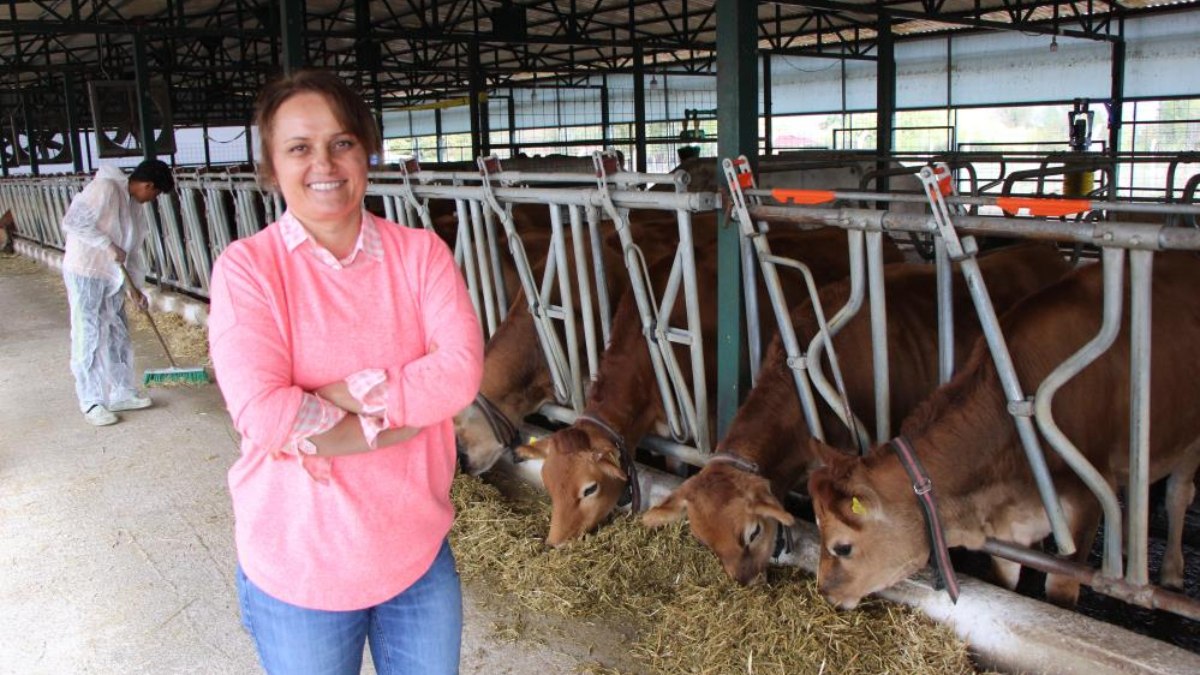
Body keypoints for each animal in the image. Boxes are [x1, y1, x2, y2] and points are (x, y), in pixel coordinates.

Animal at [806, 249, 1200, 607]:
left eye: (843, 546)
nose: (824, 592)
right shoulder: (1007, 528)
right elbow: (1004, 578)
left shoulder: (1087, 503)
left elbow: (1061, 590)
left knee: (1178, 493)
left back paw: (1171, 572)